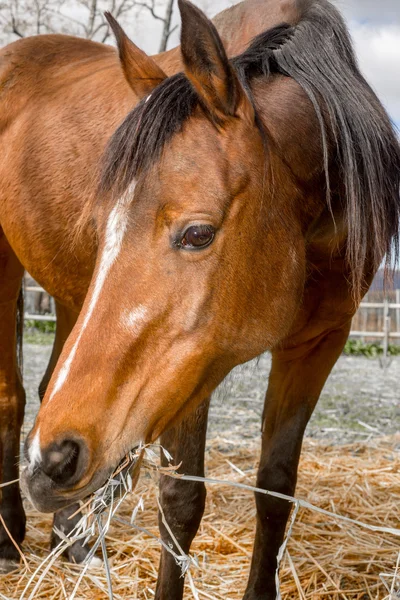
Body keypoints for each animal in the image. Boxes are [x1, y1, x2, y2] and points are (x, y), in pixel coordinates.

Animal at [0, 0, 400, 596]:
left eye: (197, 234)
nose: (48, 464)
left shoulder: (318, 343)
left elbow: (276, 489)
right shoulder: (191, 371)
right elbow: (180, 501)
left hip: (71, 296)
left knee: (50, 387)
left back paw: (74, 542)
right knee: (13, 394)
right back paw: (8, 539)